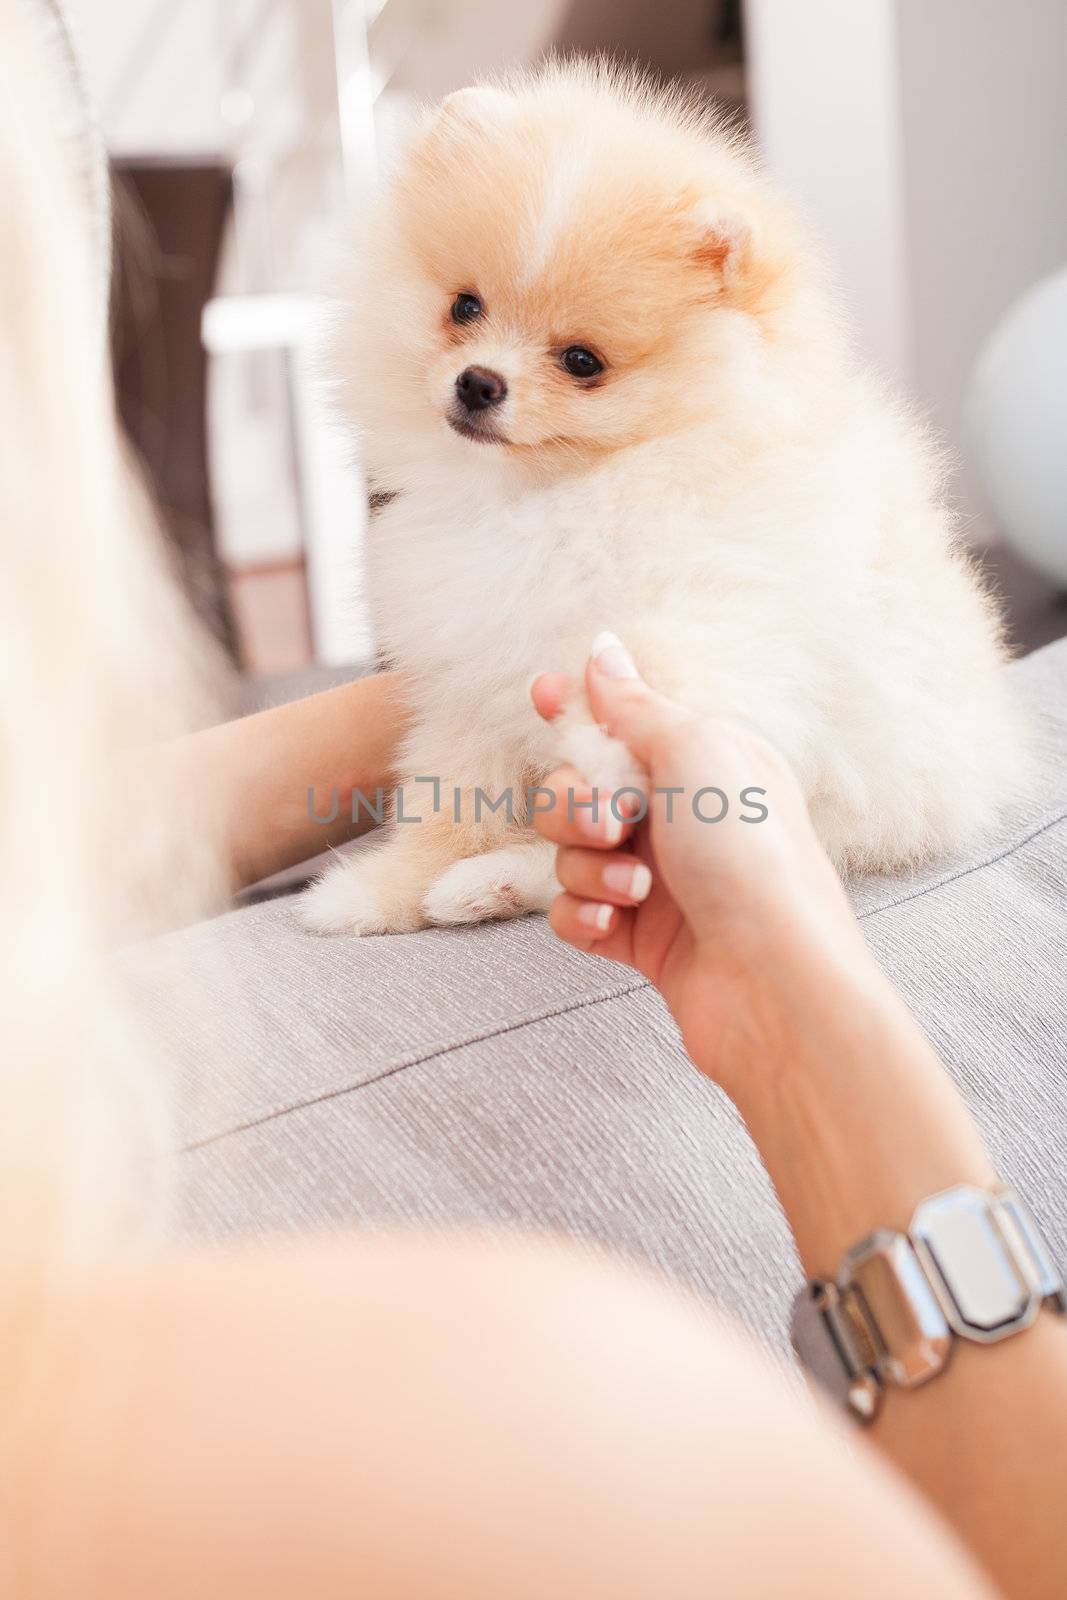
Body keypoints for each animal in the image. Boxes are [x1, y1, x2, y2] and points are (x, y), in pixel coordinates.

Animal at [303, 59, 1023, 934]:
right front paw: (376, 892)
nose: (477, 383)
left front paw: (599, 754)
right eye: (463, 308)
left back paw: (494, 881)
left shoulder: (711, 612)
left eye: (581, 361)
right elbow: (449, 803)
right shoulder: (464, 689)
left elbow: (655, 679)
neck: (552, 494)